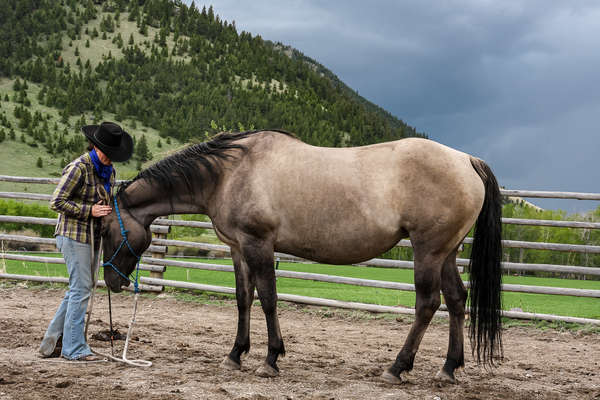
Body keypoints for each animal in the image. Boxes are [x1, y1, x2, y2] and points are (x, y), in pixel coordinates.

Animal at [101, 130, 504, 382]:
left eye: (105, 229)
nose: (112, 282)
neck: (229, 173)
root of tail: (467, 160)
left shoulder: (258, 244)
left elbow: (268, 299)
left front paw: (270, 359)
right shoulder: (238, 248)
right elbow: (243, 299)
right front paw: (235, 355)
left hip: (428, 251)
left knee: (427, 303)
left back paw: (396, 367)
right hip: (446, 252)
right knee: (456, 300)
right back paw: (448, 368)